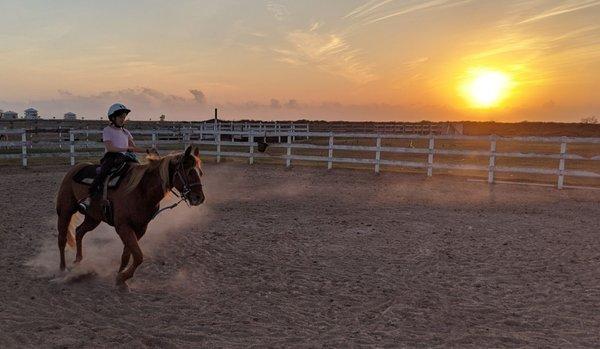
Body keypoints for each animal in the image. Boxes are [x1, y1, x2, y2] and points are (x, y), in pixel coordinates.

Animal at [56, 145, 206, 286]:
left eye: (199, 172)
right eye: (189, 171)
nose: (199, 198)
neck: (140, 190)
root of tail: (75, 168)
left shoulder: (140, 229)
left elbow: (127, 255)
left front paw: (120, 276)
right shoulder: (123, 227)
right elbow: (138, 256)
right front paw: (122, 277)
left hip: (93, 218)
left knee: (79, 231)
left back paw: (78, 262)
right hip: (65, 211)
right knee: (62, 239)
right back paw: (62, 269)